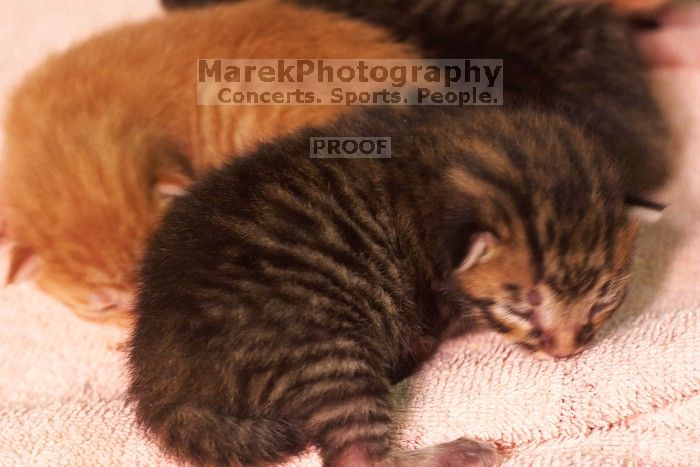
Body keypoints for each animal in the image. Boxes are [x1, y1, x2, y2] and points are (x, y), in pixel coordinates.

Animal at [130, 106, 656, 467]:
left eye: (603, 298)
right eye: (523, 308)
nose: (566, 353)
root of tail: (159, 378)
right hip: (326, 346)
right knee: (357, 457)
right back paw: (459, 451)